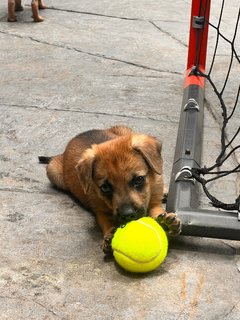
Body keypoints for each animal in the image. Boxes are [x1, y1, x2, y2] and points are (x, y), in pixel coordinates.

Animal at [39, 126, 181, 254]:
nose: (127, 215)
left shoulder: (154, 200)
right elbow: (106, 223)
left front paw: (166, 224)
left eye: (139, 179)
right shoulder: (100, 212)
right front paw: (109, 237)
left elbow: (157, 210)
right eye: (105, 187)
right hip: (53, 172)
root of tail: (61, 154)